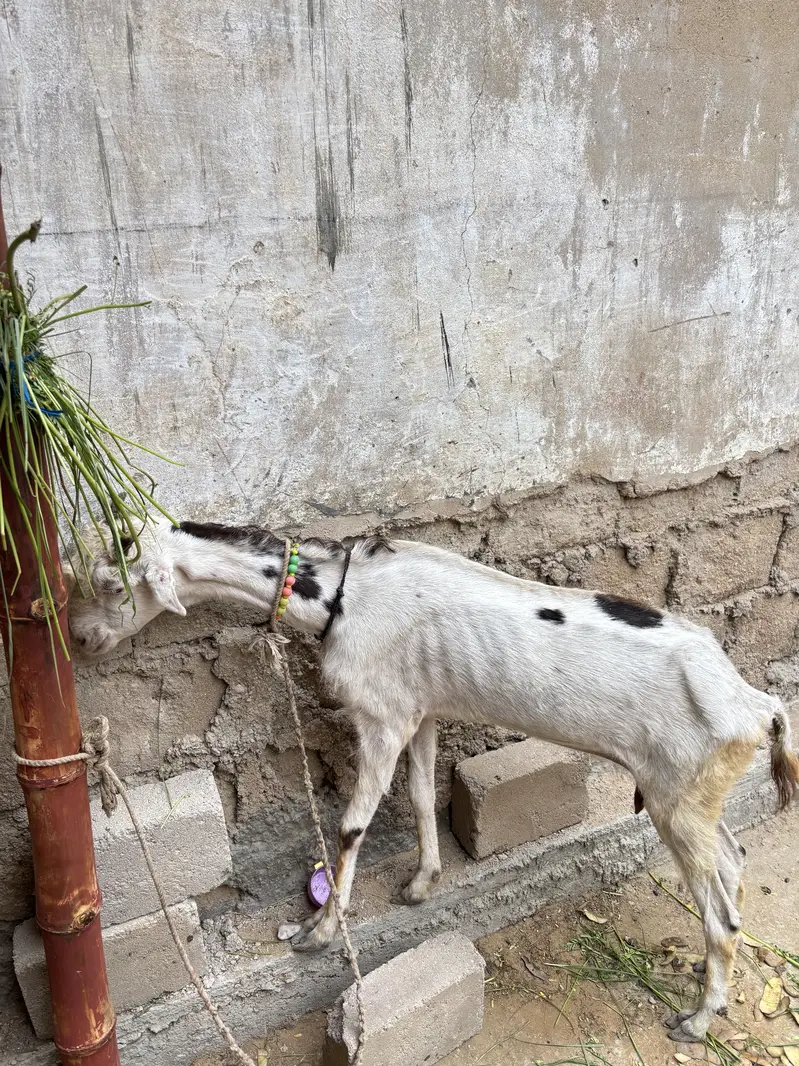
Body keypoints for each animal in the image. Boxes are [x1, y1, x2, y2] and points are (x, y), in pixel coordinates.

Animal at [67, 518, 799, 1043]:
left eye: (111, 583)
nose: (77, 639)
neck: (338, 596)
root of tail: (756, 704)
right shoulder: (418, 711)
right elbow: (419, 796)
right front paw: (422, 883)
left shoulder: (380, 716)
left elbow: (352, 825)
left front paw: (320, 933)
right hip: (696, 797)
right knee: (732, 861)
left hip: (677, 798)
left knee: (721, 914)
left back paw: (698, 1019)